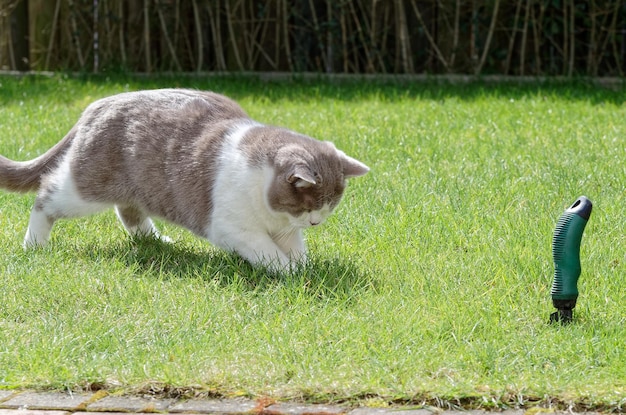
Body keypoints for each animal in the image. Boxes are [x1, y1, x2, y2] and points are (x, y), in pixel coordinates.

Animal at [0, 89, 368, 272]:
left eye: (331, 205)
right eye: (309, 204)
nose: (316, 222)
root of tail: (97, 104)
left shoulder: (285, 229)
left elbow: (295, 249)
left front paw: (303, 267)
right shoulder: (233, 228)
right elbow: (268, 252)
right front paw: (290, 272)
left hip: (140, 186)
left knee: (129, 211)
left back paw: (157, 240)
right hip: (85, 187)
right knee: (46, 196)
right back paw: (34, 244)